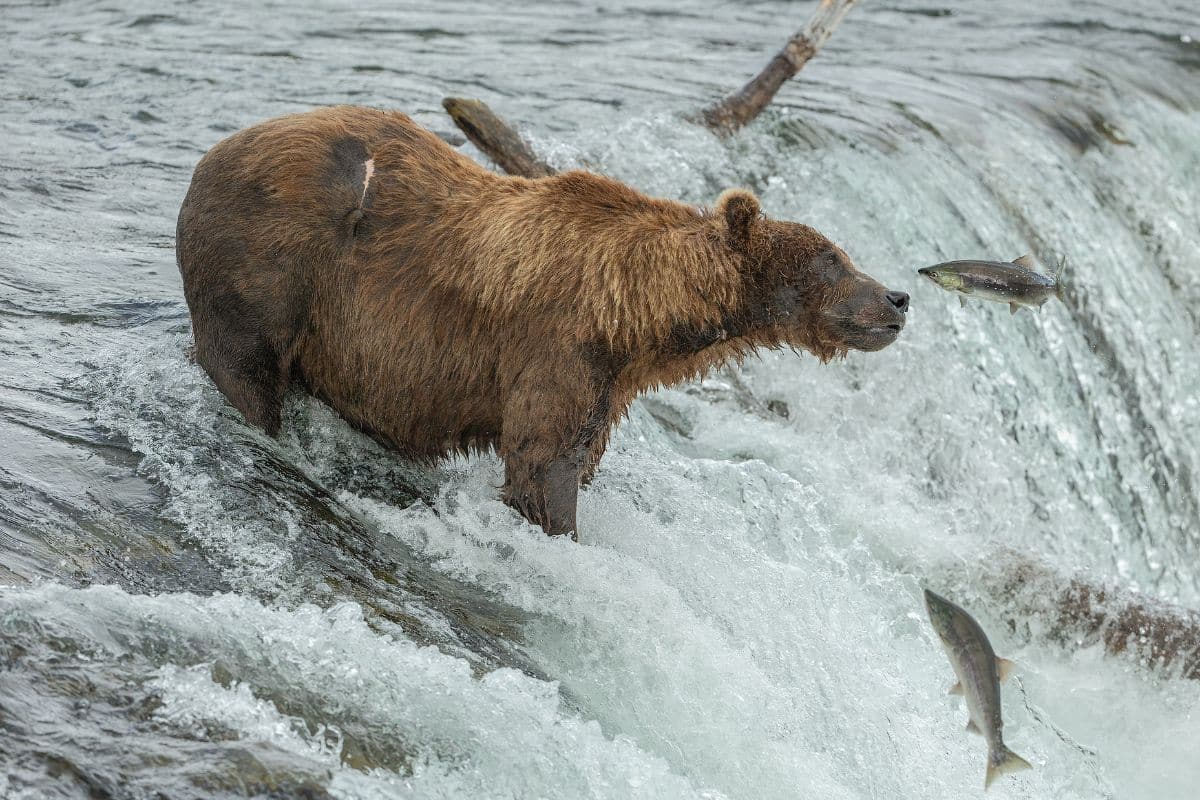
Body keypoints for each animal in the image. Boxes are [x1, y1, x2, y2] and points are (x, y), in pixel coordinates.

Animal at [176, 106, 909, 540]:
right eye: (834, 261)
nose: (897, 298)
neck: (638, 315)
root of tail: (210, 154)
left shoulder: (606, 382)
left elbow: (580, 454)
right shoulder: (559, 347)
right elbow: (541, 460)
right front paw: (557, 526)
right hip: (270, 261)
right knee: (246, 364)